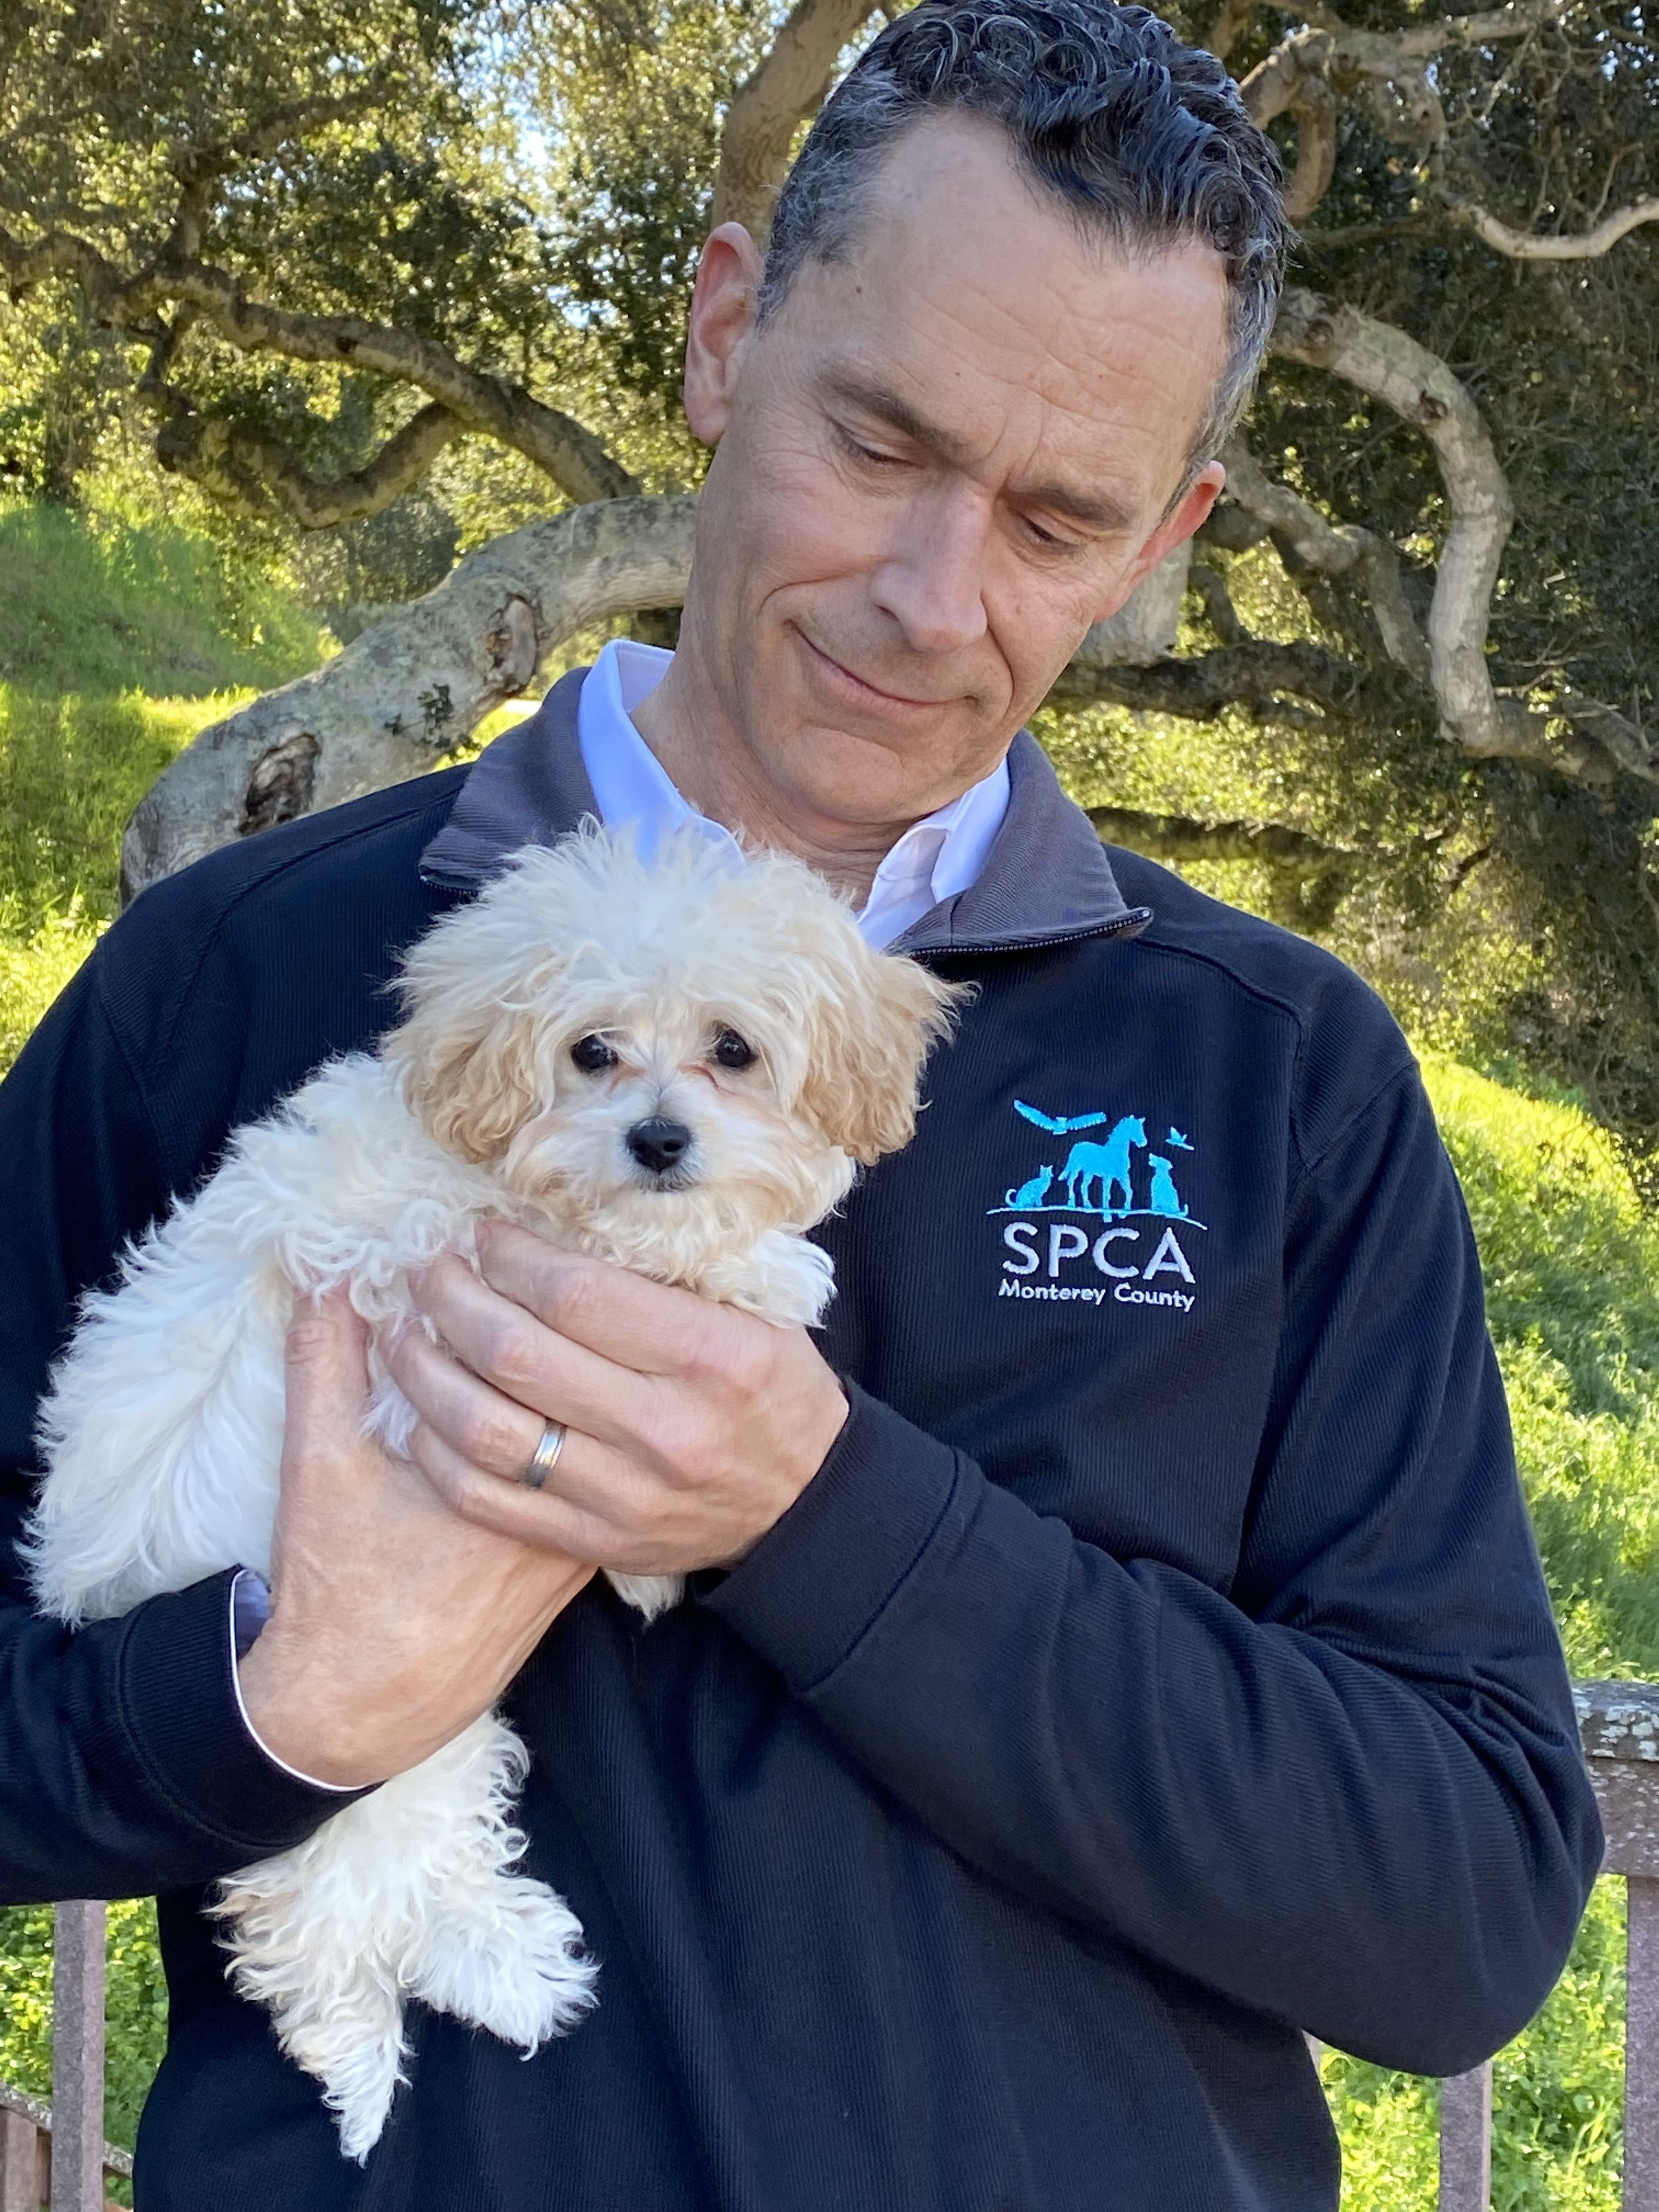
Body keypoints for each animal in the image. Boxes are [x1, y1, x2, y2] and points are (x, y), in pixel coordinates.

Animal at [29, 822, 960, 2150]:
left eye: (733, 1048)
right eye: (590, 1052)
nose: (658, 1142)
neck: (509, 1174)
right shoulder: (411, 1267)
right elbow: (641, 1252)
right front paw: (760, 1270)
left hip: (433, 1743)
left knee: (423, 1869)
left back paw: (511, 1976)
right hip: (342, 1740)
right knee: (319, 1923)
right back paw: (396, 2043)